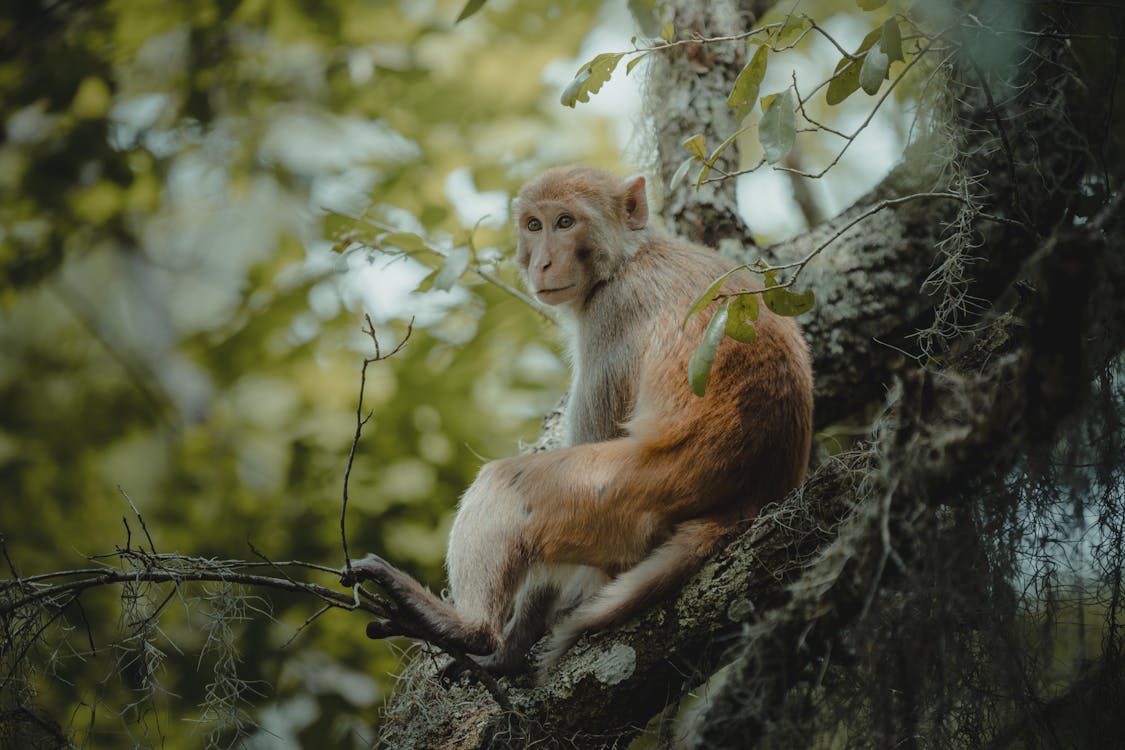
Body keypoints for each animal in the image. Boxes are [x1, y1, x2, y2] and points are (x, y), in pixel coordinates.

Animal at [346, 164, 814, 674]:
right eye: (534, 226)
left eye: (565, 222)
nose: (543, 263)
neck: (631, 257)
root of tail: (748, 499)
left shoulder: (610, 315)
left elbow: (591, 435)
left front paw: (512, 647)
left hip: (623, 496)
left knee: (508, 485)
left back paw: (472, 629)